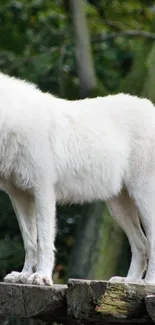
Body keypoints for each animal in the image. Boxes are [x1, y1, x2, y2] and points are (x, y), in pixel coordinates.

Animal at [0, 72, 154, 284]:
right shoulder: (19, 196)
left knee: (151, 240)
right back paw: (128, 282)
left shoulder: (43, 192)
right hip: (118, 208)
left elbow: (44, 240)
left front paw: (42, 277)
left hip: (143, 197)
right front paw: (23, 275)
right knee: (141, 244)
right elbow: (30, 241)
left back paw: (148, 282)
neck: (12, 119)